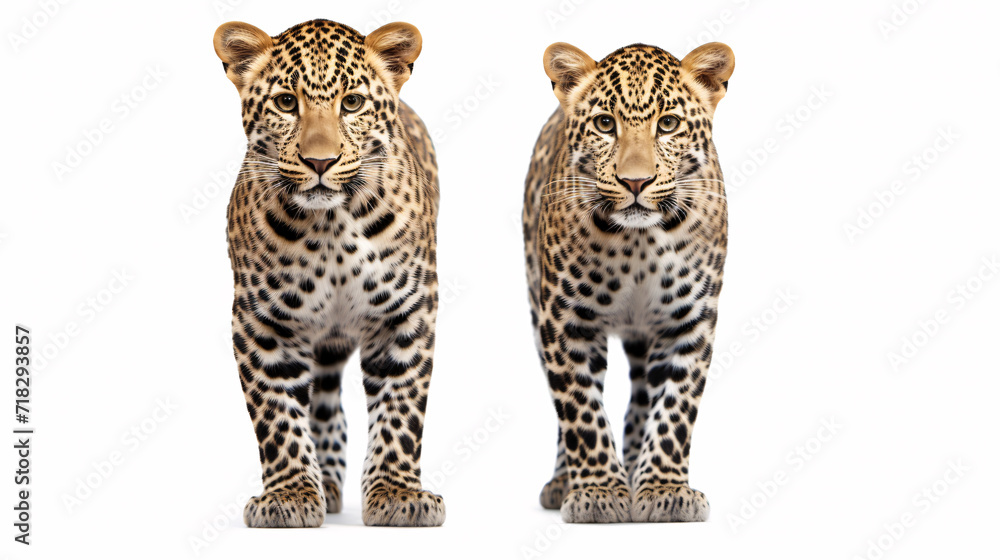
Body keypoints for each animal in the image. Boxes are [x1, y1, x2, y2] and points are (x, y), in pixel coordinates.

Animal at [213, 18, 444, 527]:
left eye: (352, 103)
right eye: (285, 102)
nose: (320, 162)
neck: (331, 225)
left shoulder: (406, 314)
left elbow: (400, 409)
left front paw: (398, 494)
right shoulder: (261, 323)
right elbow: (277, 416)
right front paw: (289, 496)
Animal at [522, 41, 735, 523]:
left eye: (668, 124)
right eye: (605, 124)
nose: (635, 182)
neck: (638, 243)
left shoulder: (688, 322)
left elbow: (674, 408)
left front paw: (664, 489)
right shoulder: (565, 322)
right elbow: (581, 410)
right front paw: (599, 491)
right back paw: (564, 481)